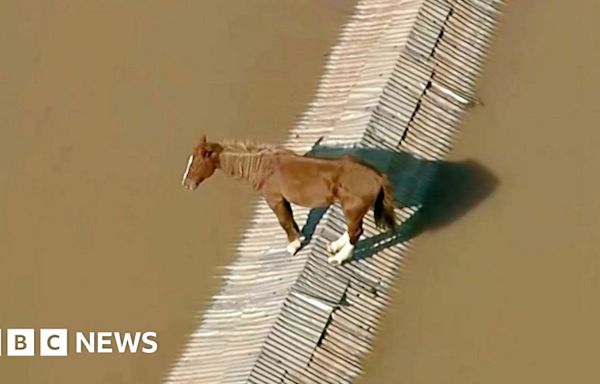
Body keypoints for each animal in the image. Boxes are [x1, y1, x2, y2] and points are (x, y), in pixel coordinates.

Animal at [182, 134, 398, 264]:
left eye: (196, 163)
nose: (186, 184)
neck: (263, 166)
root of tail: (377, 176)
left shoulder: (274, 199)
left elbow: (284, 221)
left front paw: (293, 246)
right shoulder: (283, 200)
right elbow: (291, 218)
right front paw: (300, 237)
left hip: (353, 208)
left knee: (356, 232)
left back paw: (338, 258)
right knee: (353, 229)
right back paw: (334, 246)